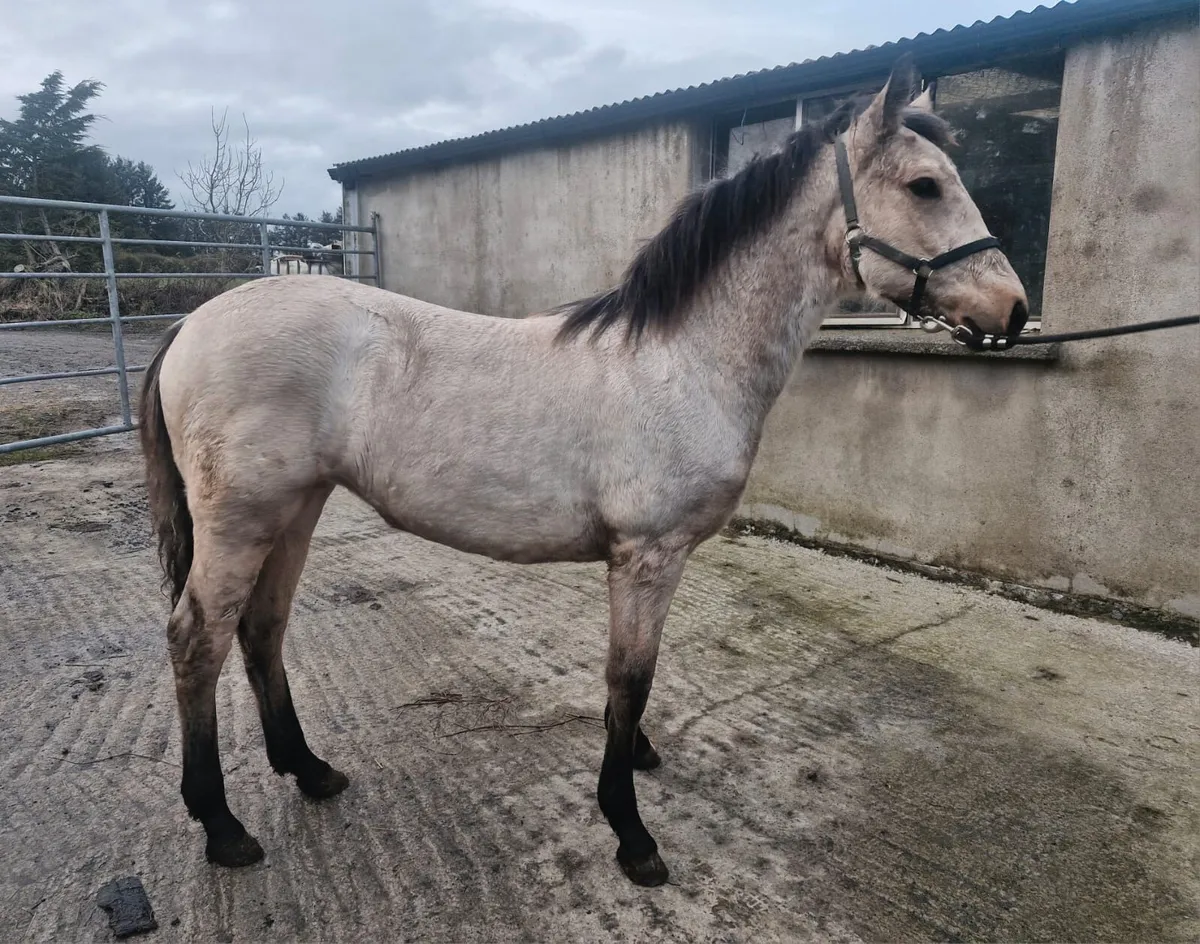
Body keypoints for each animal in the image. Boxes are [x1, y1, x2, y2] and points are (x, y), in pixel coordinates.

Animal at [138, 55, 1028, 887]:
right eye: (923, 185)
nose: (1013, 311)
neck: (684, 359)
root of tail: (191, 323)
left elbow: (629, 684)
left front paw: (634, 761)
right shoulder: (648, 555)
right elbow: (630, 677)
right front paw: (631, 834)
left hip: (297, 509)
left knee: (262, 629)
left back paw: (311, 771)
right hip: (242, 519)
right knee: (198, 640)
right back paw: (223, 827)